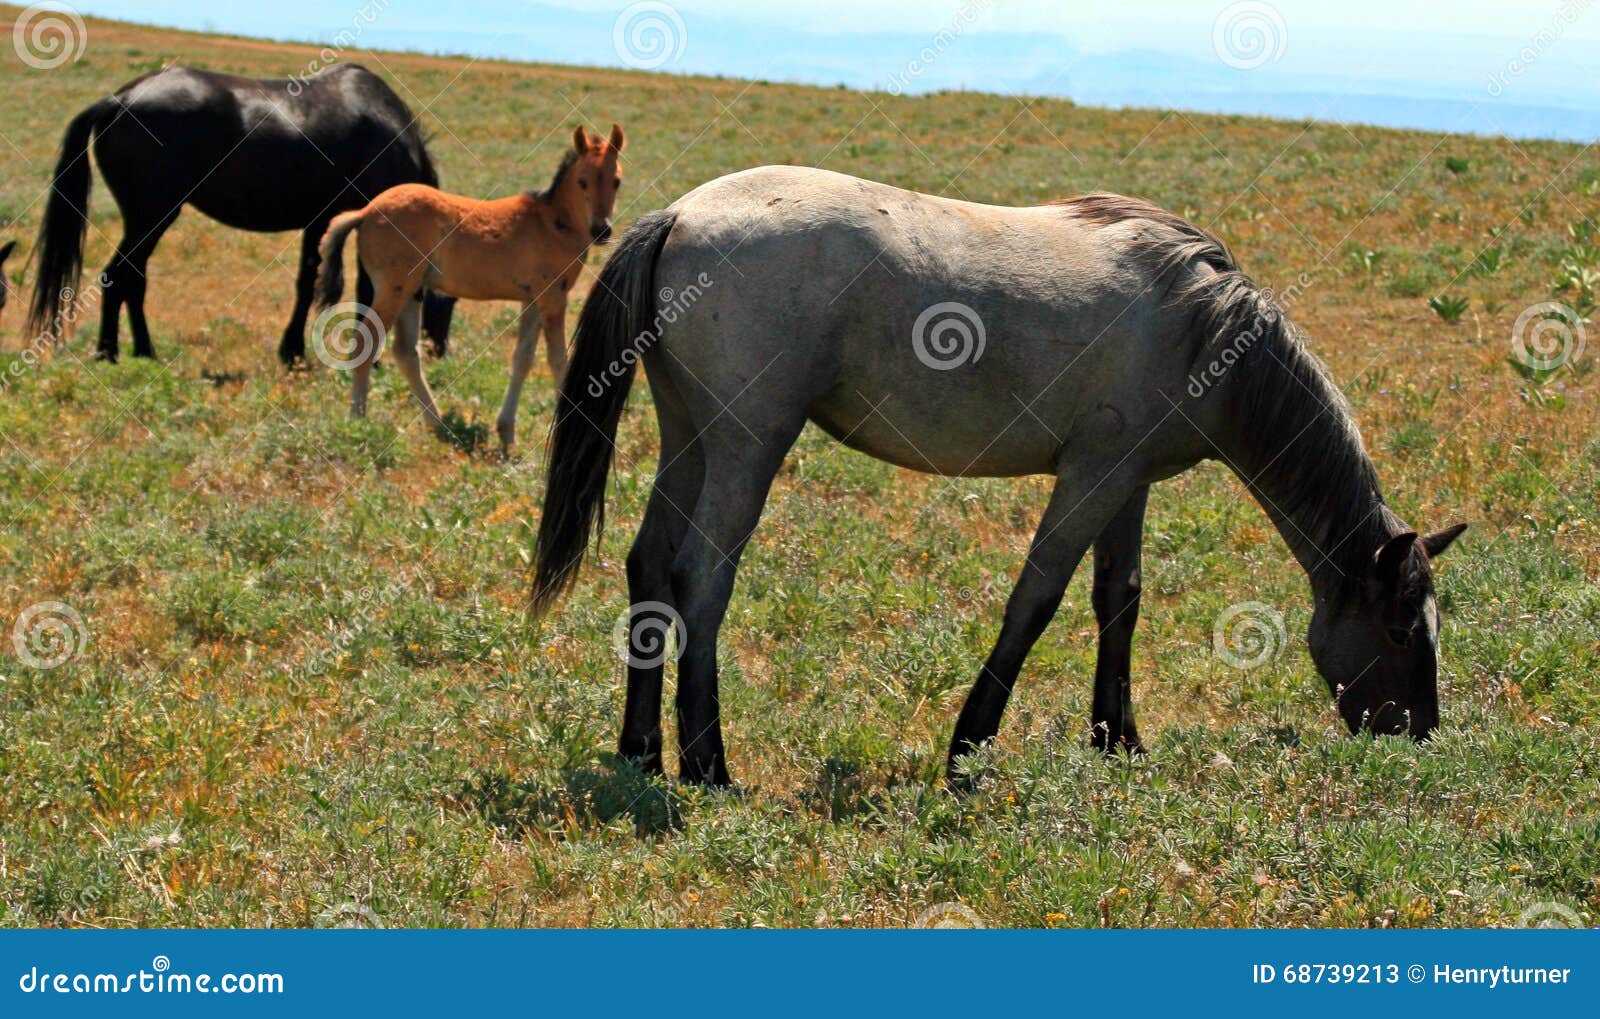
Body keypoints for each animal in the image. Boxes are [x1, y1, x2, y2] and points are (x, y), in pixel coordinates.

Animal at [28, 62, 454, 361]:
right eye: (449, 300)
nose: (440, 349)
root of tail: (121, 100)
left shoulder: (319, 223)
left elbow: (307, 283)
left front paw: (292, 352)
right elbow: (366, 289)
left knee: (132, 278)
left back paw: (137, 351)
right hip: (152, 216)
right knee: (119, 277)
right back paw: (114, 353)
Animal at [312, 123, 624, 447]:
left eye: (616, 181)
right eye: (582, 181)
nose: (602, 230)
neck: (552, 222)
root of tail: (364, 212)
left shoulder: (533, 299)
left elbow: (523, 359)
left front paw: (506, 433)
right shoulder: (553, 298)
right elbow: (558, 360)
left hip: (412, 292)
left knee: (406, 352)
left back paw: (437, 425)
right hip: (392, 289)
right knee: (366, 342)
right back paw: (358, 421)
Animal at [531, 167, 1465, 787]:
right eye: (1397, 630)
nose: (1419, 734)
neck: (1207, 327)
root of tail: (682, 213)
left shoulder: (1128, 480)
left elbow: (1119, 599)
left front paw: (1118, 738)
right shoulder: (1089, 476)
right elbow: (1036, 600)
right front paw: (967, 748)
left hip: (689, 439)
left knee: (650, 567)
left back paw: (640, 751)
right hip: (746, 447)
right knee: (702, 578)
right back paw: (708, 764)